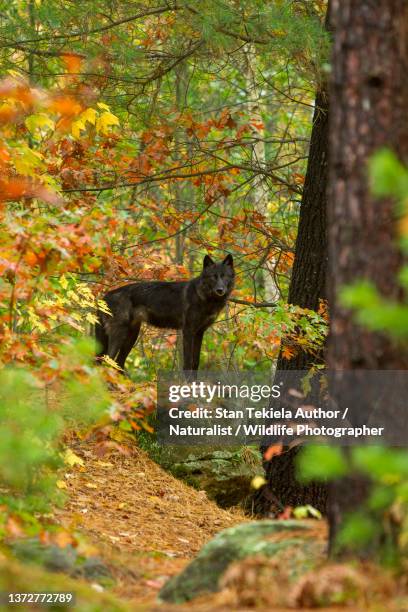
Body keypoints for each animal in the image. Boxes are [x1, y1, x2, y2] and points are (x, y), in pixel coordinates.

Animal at [95, 255, 234, 370]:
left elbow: (195, 363)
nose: (220, 290)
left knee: (118, 362)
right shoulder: (188, 331)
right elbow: (188, 363)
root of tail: (104, 297)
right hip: (120, 335)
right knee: (108, 360)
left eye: (224, 276)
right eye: (213, 277)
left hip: (131, 336)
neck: (205, 297)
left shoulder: (199, 333)